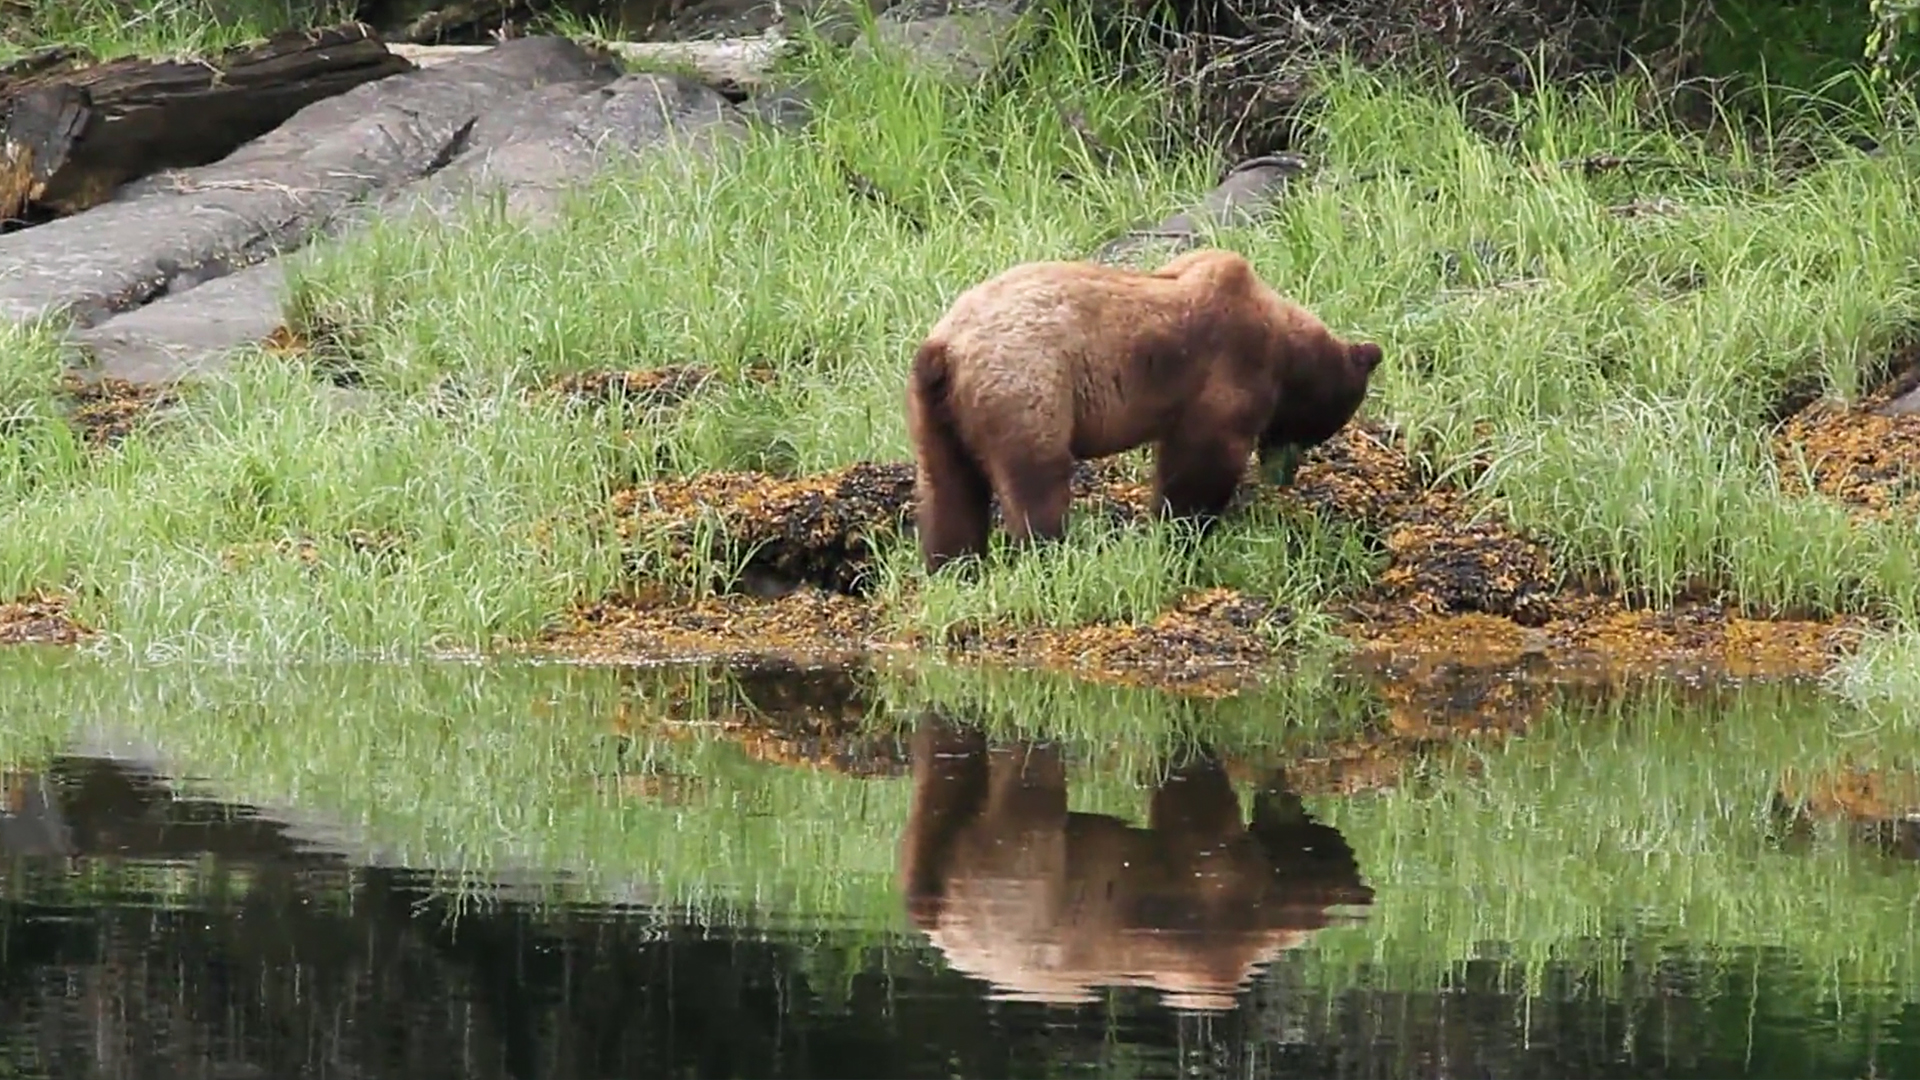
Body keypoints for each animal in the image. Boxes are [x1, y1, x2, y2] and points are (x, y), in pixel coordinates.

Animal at [898, 245, 1382, 572]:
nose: (1285, 472)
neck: (1283, 346)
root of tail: (945, 349)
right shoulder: (1226, 367)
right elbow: (1200, 461)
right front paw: (1183, 529)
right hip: (1024, 384)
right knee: (1036, 479)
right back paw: (1050, 549)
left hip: (936, 413)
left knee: (949, 490)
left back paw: (953, 565)